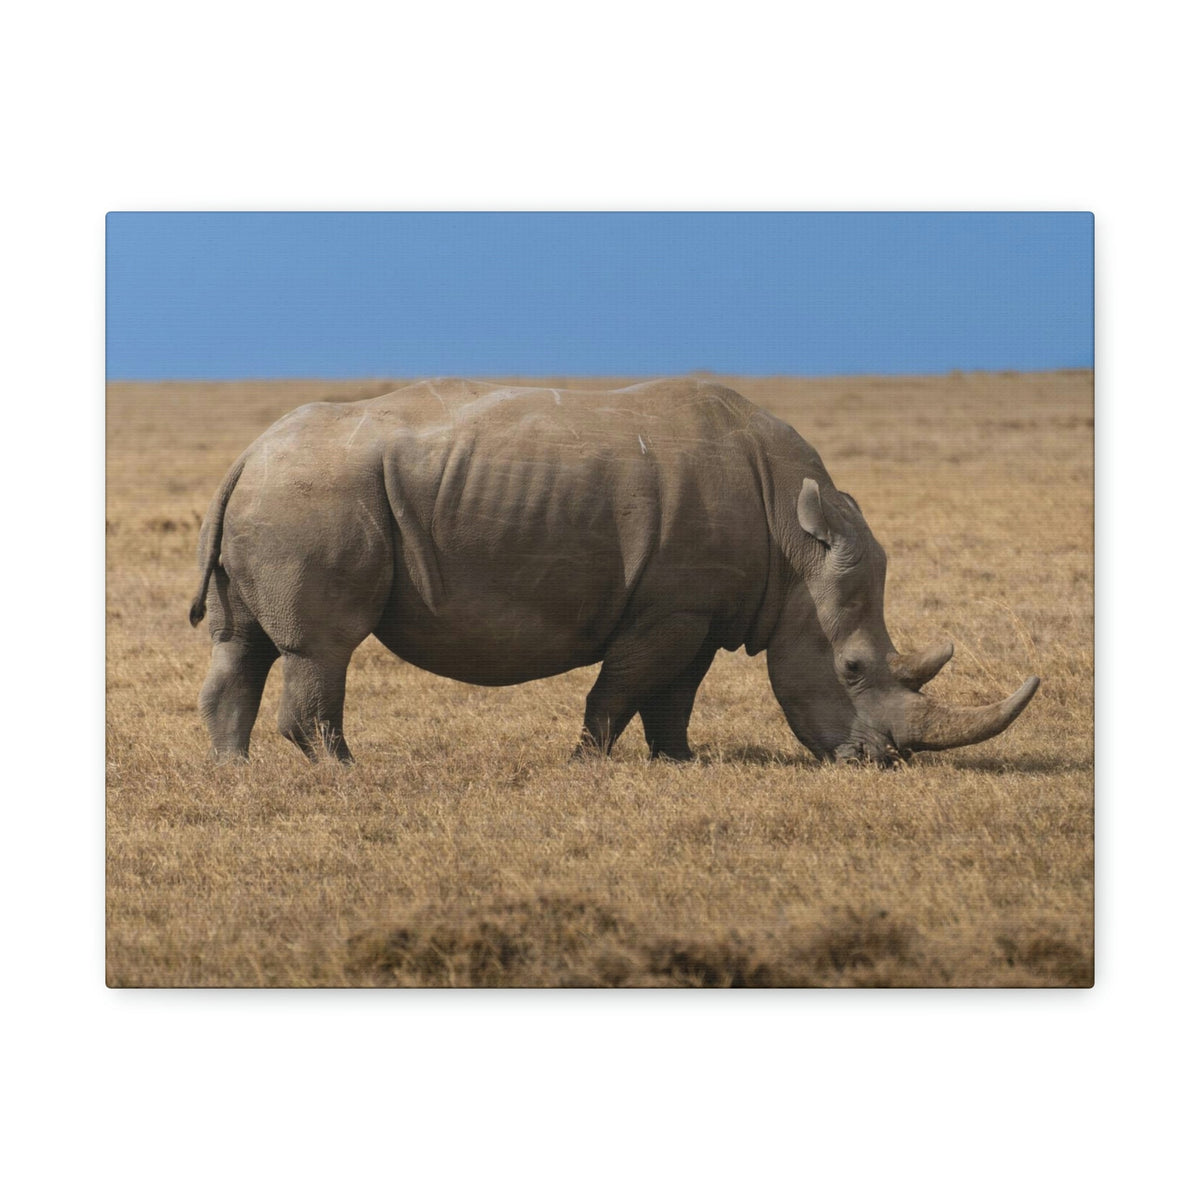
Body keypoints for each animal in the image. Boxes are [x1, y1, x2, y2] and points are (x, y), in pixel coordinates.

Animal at [190, 378, 1039, 765]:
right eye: (855, 668)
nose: (881, 762)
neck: (795, 545)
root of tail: (247, 453)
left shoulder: (702, 609)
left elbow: (674, 695)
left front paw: (681, 763)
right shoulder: (669, 609)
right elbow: (621, 689)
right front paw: (588, 763)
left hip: (279, 496)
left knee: (243, 644)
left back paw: (237, 771)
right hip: (311, 498)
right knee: (322, 646)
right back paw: (344, 771)